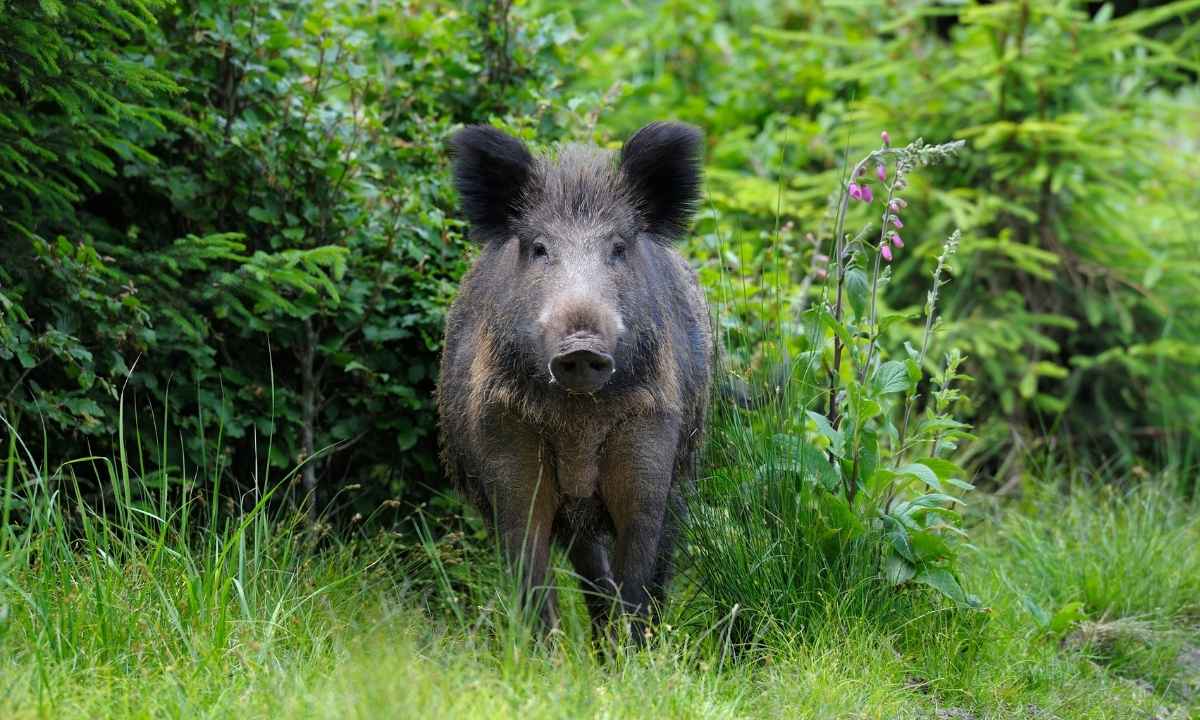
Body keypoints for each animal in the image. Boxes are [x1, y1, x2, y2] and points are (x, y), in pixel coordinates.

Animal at [437, 121, 712, 639]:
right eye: (540, 248)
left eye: (618, 248)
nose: (580, 345)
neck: (578, 425)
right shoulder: (505, 449)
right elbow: (532, 578)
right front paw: (545, 654)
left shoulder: (651, 443)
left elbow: (638, 575)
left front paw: (634, 654)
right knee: (590, 572)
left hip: (684, 470)